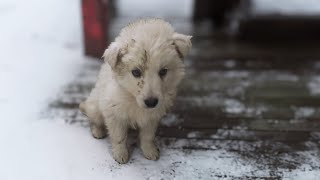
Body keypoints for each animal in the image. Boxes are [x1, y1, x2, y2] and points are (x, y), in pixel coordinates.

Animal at [79, 18, 191, 165]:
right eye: (136, 72)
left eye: (163, 71)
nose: (151, 102)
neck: (132, 98)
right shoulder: (114, 113)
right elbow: (119, 137)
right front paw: (120, 155)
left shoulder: (152, 117)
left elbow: (147, 136)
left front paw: (150, 152)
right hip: (95, 107)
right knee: (94, 120)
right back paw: (98, 131)